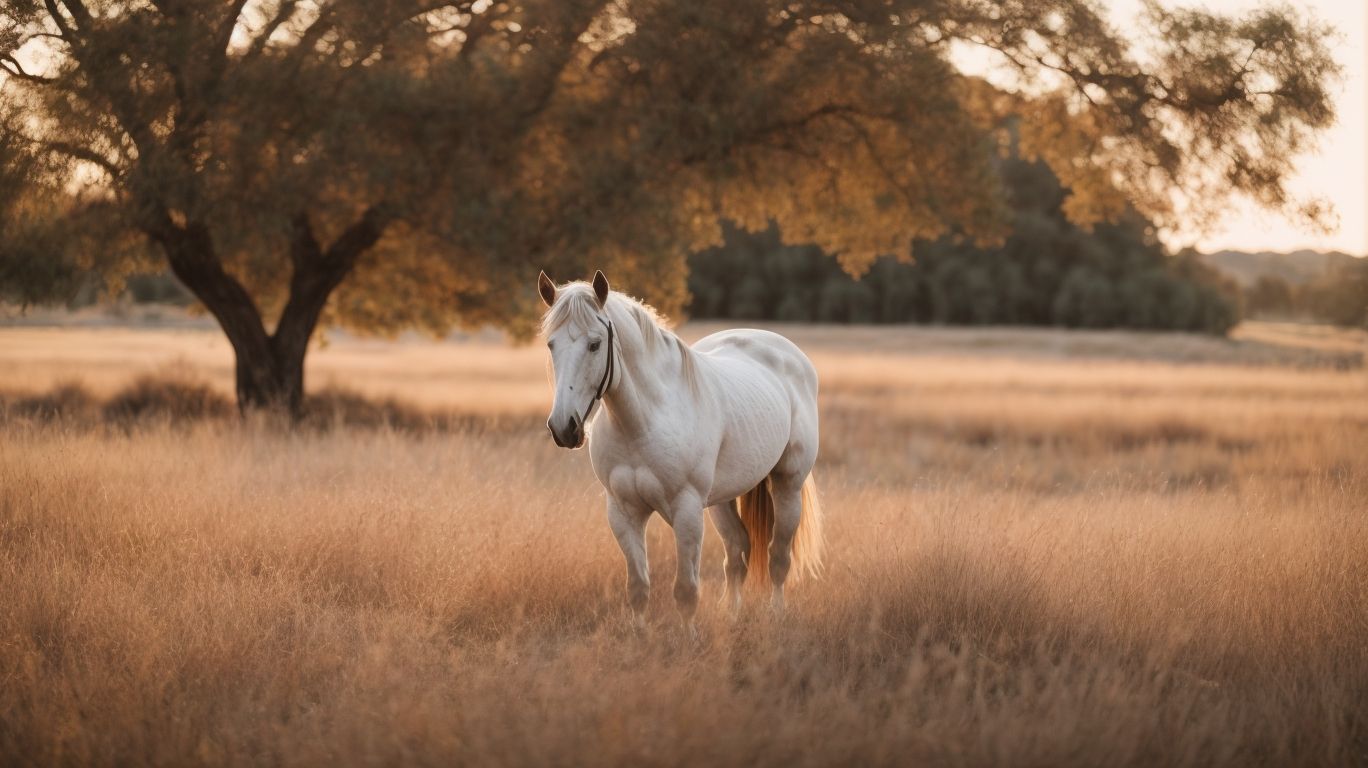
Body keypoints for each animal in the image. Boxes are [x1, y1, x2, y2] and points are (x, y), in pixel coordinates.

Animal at [538, 270, 825, 636]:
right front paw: (640, 637)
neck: (642, 422)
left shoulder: (686, 510)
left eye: (594, 344)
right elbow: (638, 587)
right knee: (738, 551)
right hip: (721, 501)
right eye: (551, 344)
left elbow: (686, 590)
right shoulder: (623, 512)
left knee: (778, 558)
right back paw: (732, 615)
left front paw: (689, 640)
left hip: (788, 485)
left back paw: (776, 614)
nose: (564, 428)